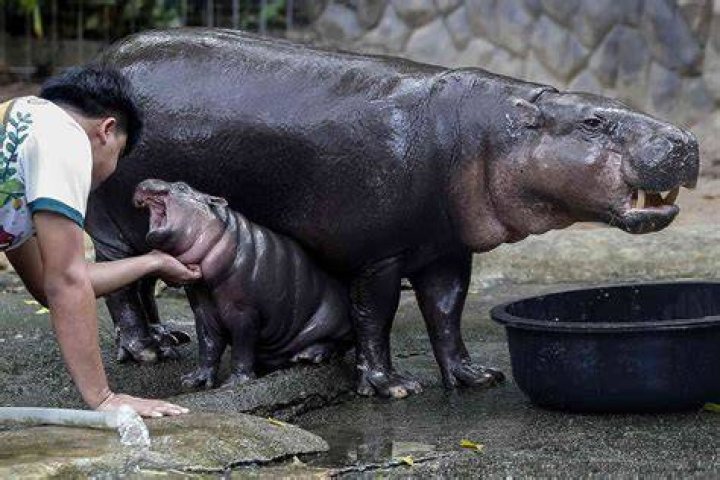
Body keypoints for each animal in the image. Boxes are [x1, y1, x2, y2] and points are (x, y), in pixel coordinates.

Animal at [133, 179, 353, 388]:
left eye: (182, 187)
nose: (144, 182)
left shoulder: (244, 313)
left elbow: (242, 348)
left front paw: (235, 383)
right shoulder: (203, 310)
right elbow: (208, 345)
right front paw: (194, 380)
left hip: (331, 320)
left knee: (338, 343)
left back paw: (307, 356)